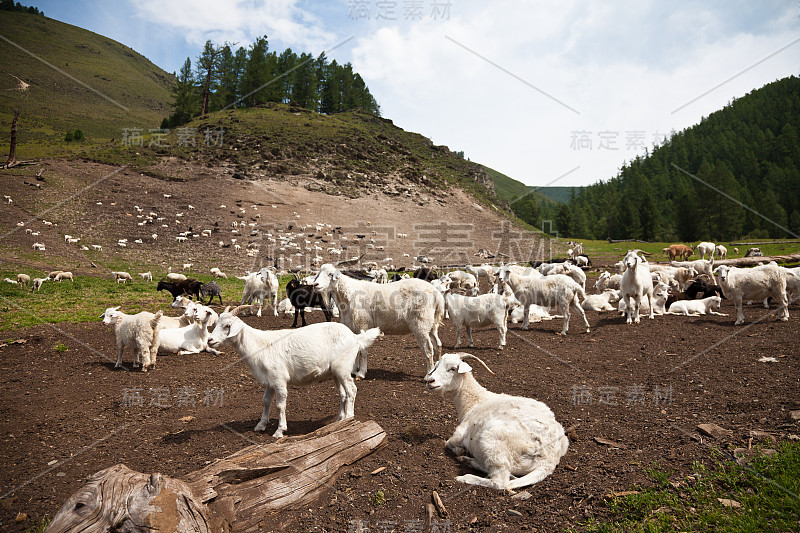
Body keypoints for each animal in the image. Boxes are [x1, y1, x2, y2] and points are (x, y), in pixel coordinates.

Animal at [206, 306, 382, 434]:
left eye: (227, 326)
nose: (210, 340)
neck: (259, 345)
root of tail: (355, 337)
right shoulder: (270, 381)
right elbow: (265, 401)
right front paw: (261, 425)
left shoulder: (279, 379)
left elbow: (280, 405)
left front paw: (279, 431)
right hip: (336, 372)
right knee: (343, 393)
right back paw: (341, 419)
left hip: (343, 368)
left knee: (352, 390)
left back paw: (350, 418)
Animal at [310, 264, 444, 376]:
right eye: (318, 274)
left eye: (330, 274)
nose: (315, 285)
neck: (348, 296)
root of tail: (436, 293)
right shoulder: (353, 327)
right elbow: (355, 349)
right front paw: (353, 370)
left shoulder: (363, 325)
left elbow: (363, 351)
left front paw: (361, 373)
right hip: (431, 324)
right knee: (438, 344)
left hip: (420, 323)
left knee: (428, 349)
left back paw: (428, 374)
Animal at [424, 354, 568, 490]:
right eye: (436, 366)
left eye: (453, 368)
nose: (430, 381)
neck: (476, 401)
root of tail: (549, 459)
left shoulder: (460, 434)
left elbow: (448, 442)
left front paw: (460, 451)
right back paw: (467, 460)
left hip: (493, 442)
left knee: (500, 482)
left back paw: (465, 475)